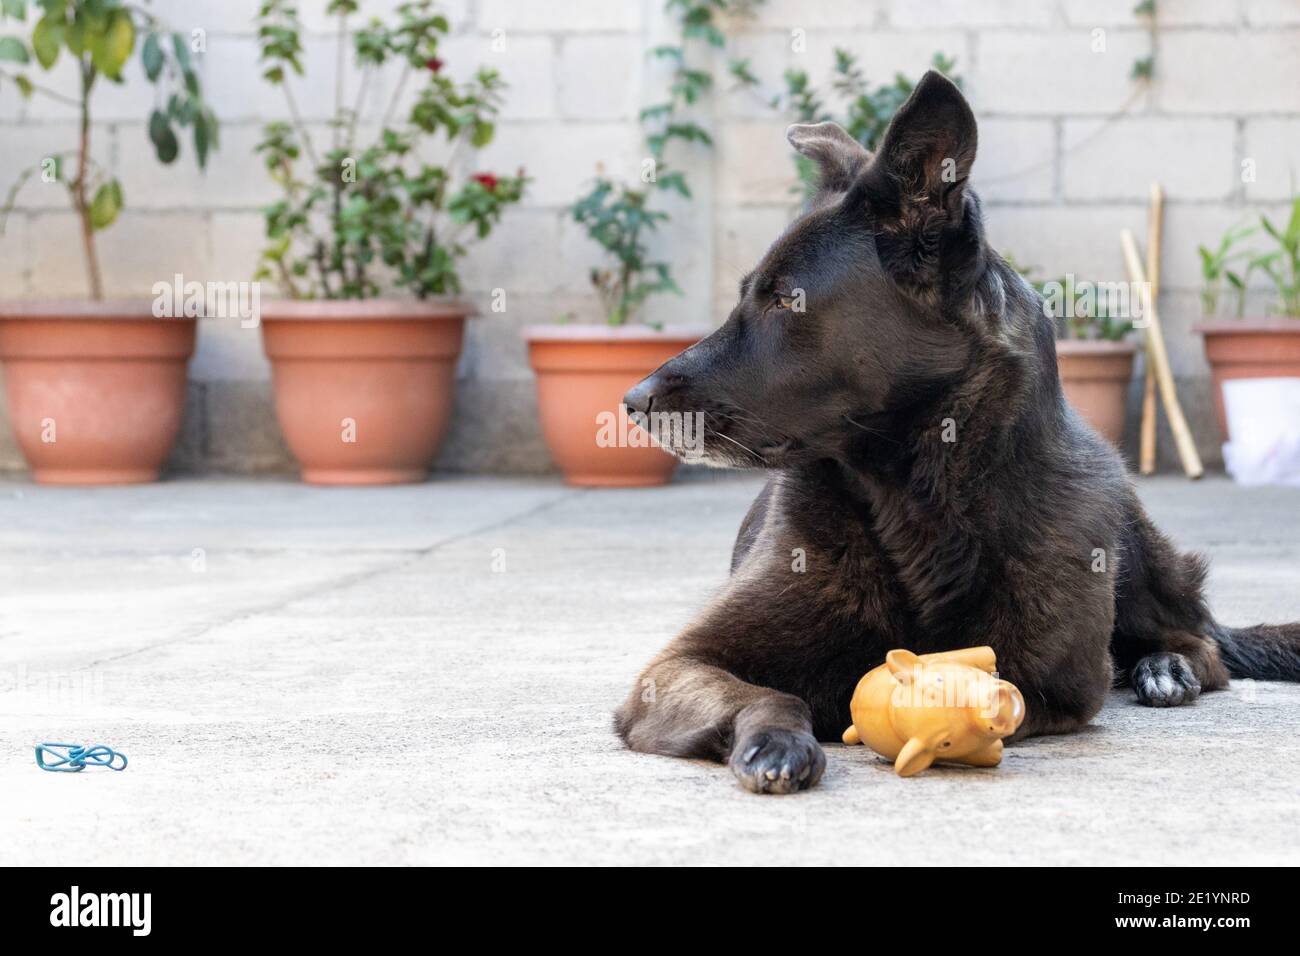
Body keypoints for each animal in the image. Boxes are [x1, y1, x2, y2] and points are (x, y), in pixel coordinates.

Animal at [613, 72, 1300, 790]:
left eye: (784, 298)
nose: (632, 401)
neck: (918, 499)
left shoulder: (1058, 683)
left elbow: (1001, 693)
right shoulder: (674, 668)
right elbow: (774, 691)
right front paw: (780, 739)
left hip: (1132, 545)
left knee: (1201, 639)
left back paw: (1166, 668)